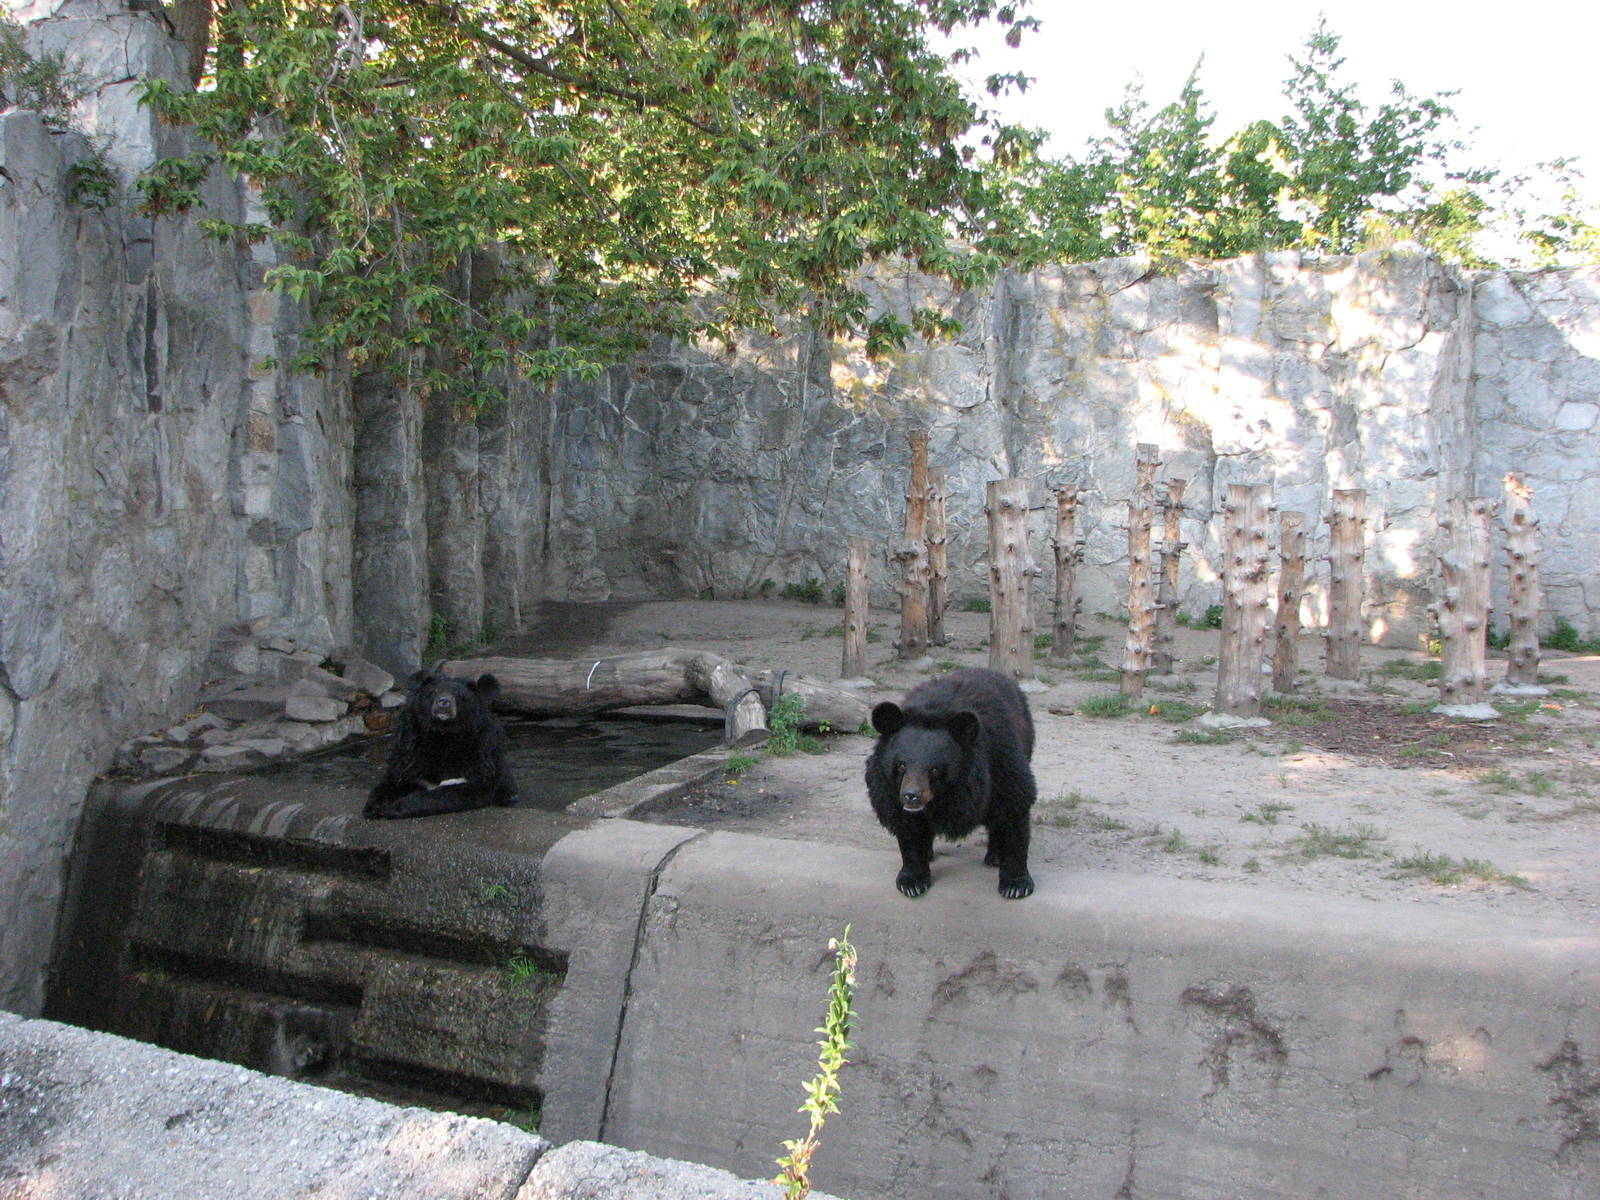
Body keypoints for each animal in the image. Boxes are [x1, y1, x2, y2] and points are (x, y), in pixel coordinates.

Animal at [363, 668, 519, 819]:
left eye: (460, 696)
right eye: (433, 692)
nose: (444, 703)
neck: (442, 735)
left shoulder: (481, 755)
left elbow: (459, 790)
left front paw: (395, 807)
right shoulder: (408, 749)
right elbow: (393, 780)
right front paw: (375, 806)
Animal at [865, 667, 1037, 899]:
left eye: (934, 769)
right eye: (900, 765)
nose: (911, 796)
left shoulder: (999, 758)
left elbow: (1014, 807)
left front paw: (1016, 885)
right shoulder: (888, 788)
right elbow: (908, 829)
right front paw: (912, 882)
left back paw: (994, 855)